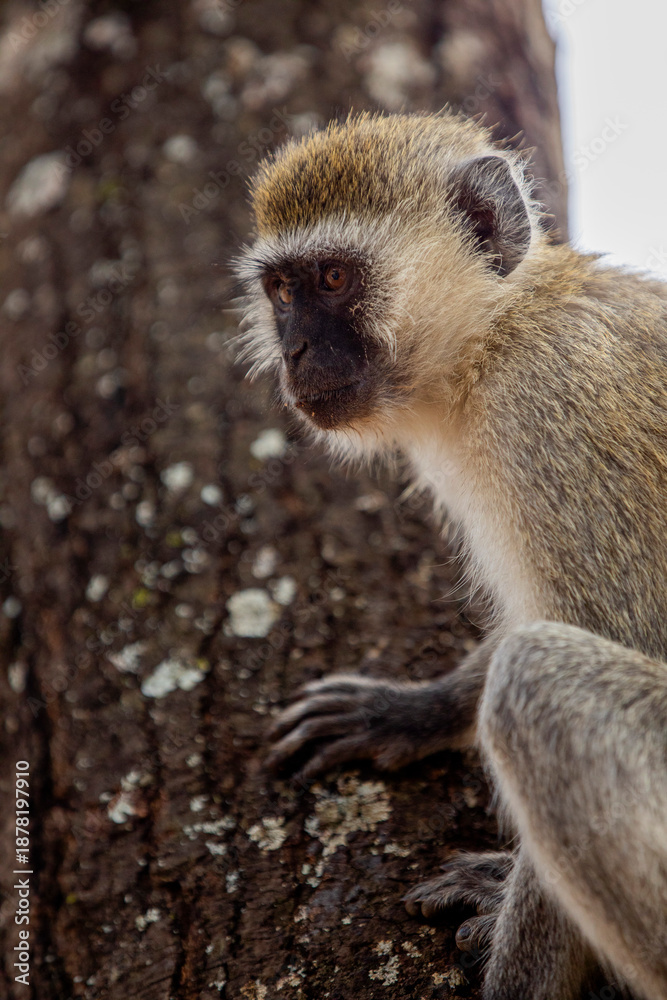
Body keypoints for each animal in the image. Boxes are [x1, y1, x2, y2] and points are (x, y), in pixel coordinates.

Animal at [235, 110, 667, 1000]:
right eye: (283, 291)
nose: (294, 355)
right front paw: (412, 710)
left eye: (334, 279)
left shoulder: (552, 411)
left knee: (537, 682)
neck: (496, 337)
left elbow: (606, 639)